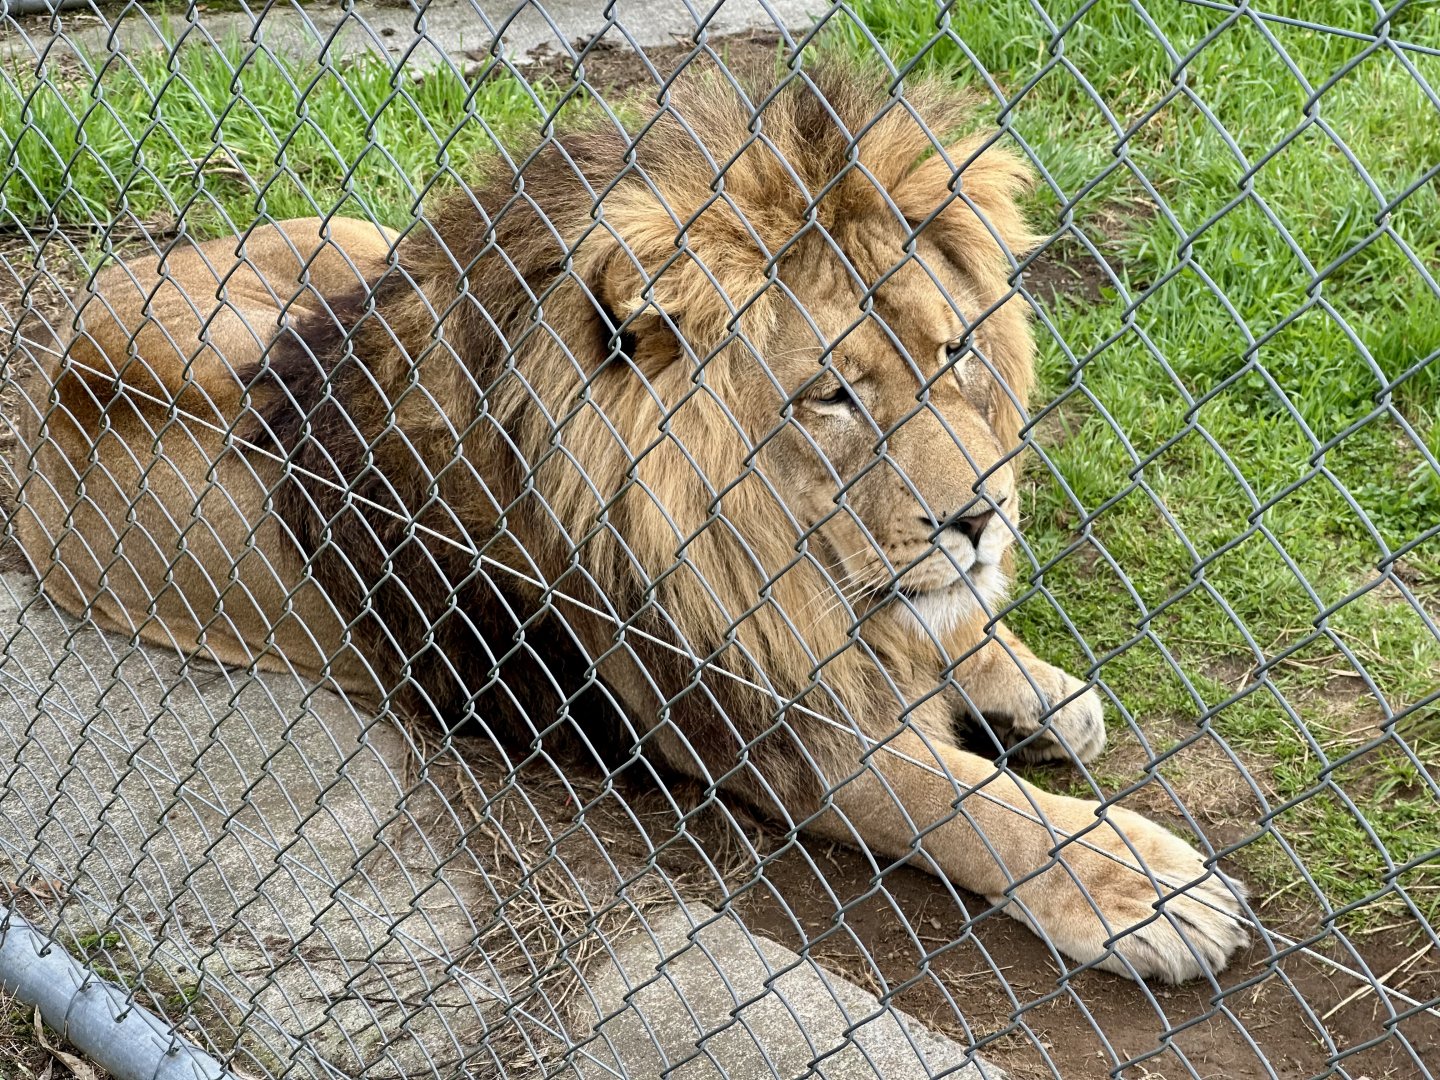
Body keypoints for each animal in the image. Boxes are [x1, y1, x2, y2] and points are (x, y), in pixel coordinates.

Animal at [12, 61, 1247, 982]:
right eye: (832, 396)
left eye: (954, 353)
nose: (984, 517)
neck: (754, 542)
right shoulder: (770, 732)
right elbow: (973, 807)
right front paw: (1144, 888)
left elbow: (943, 640)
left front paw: (1031, 684)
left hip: (350, 243)